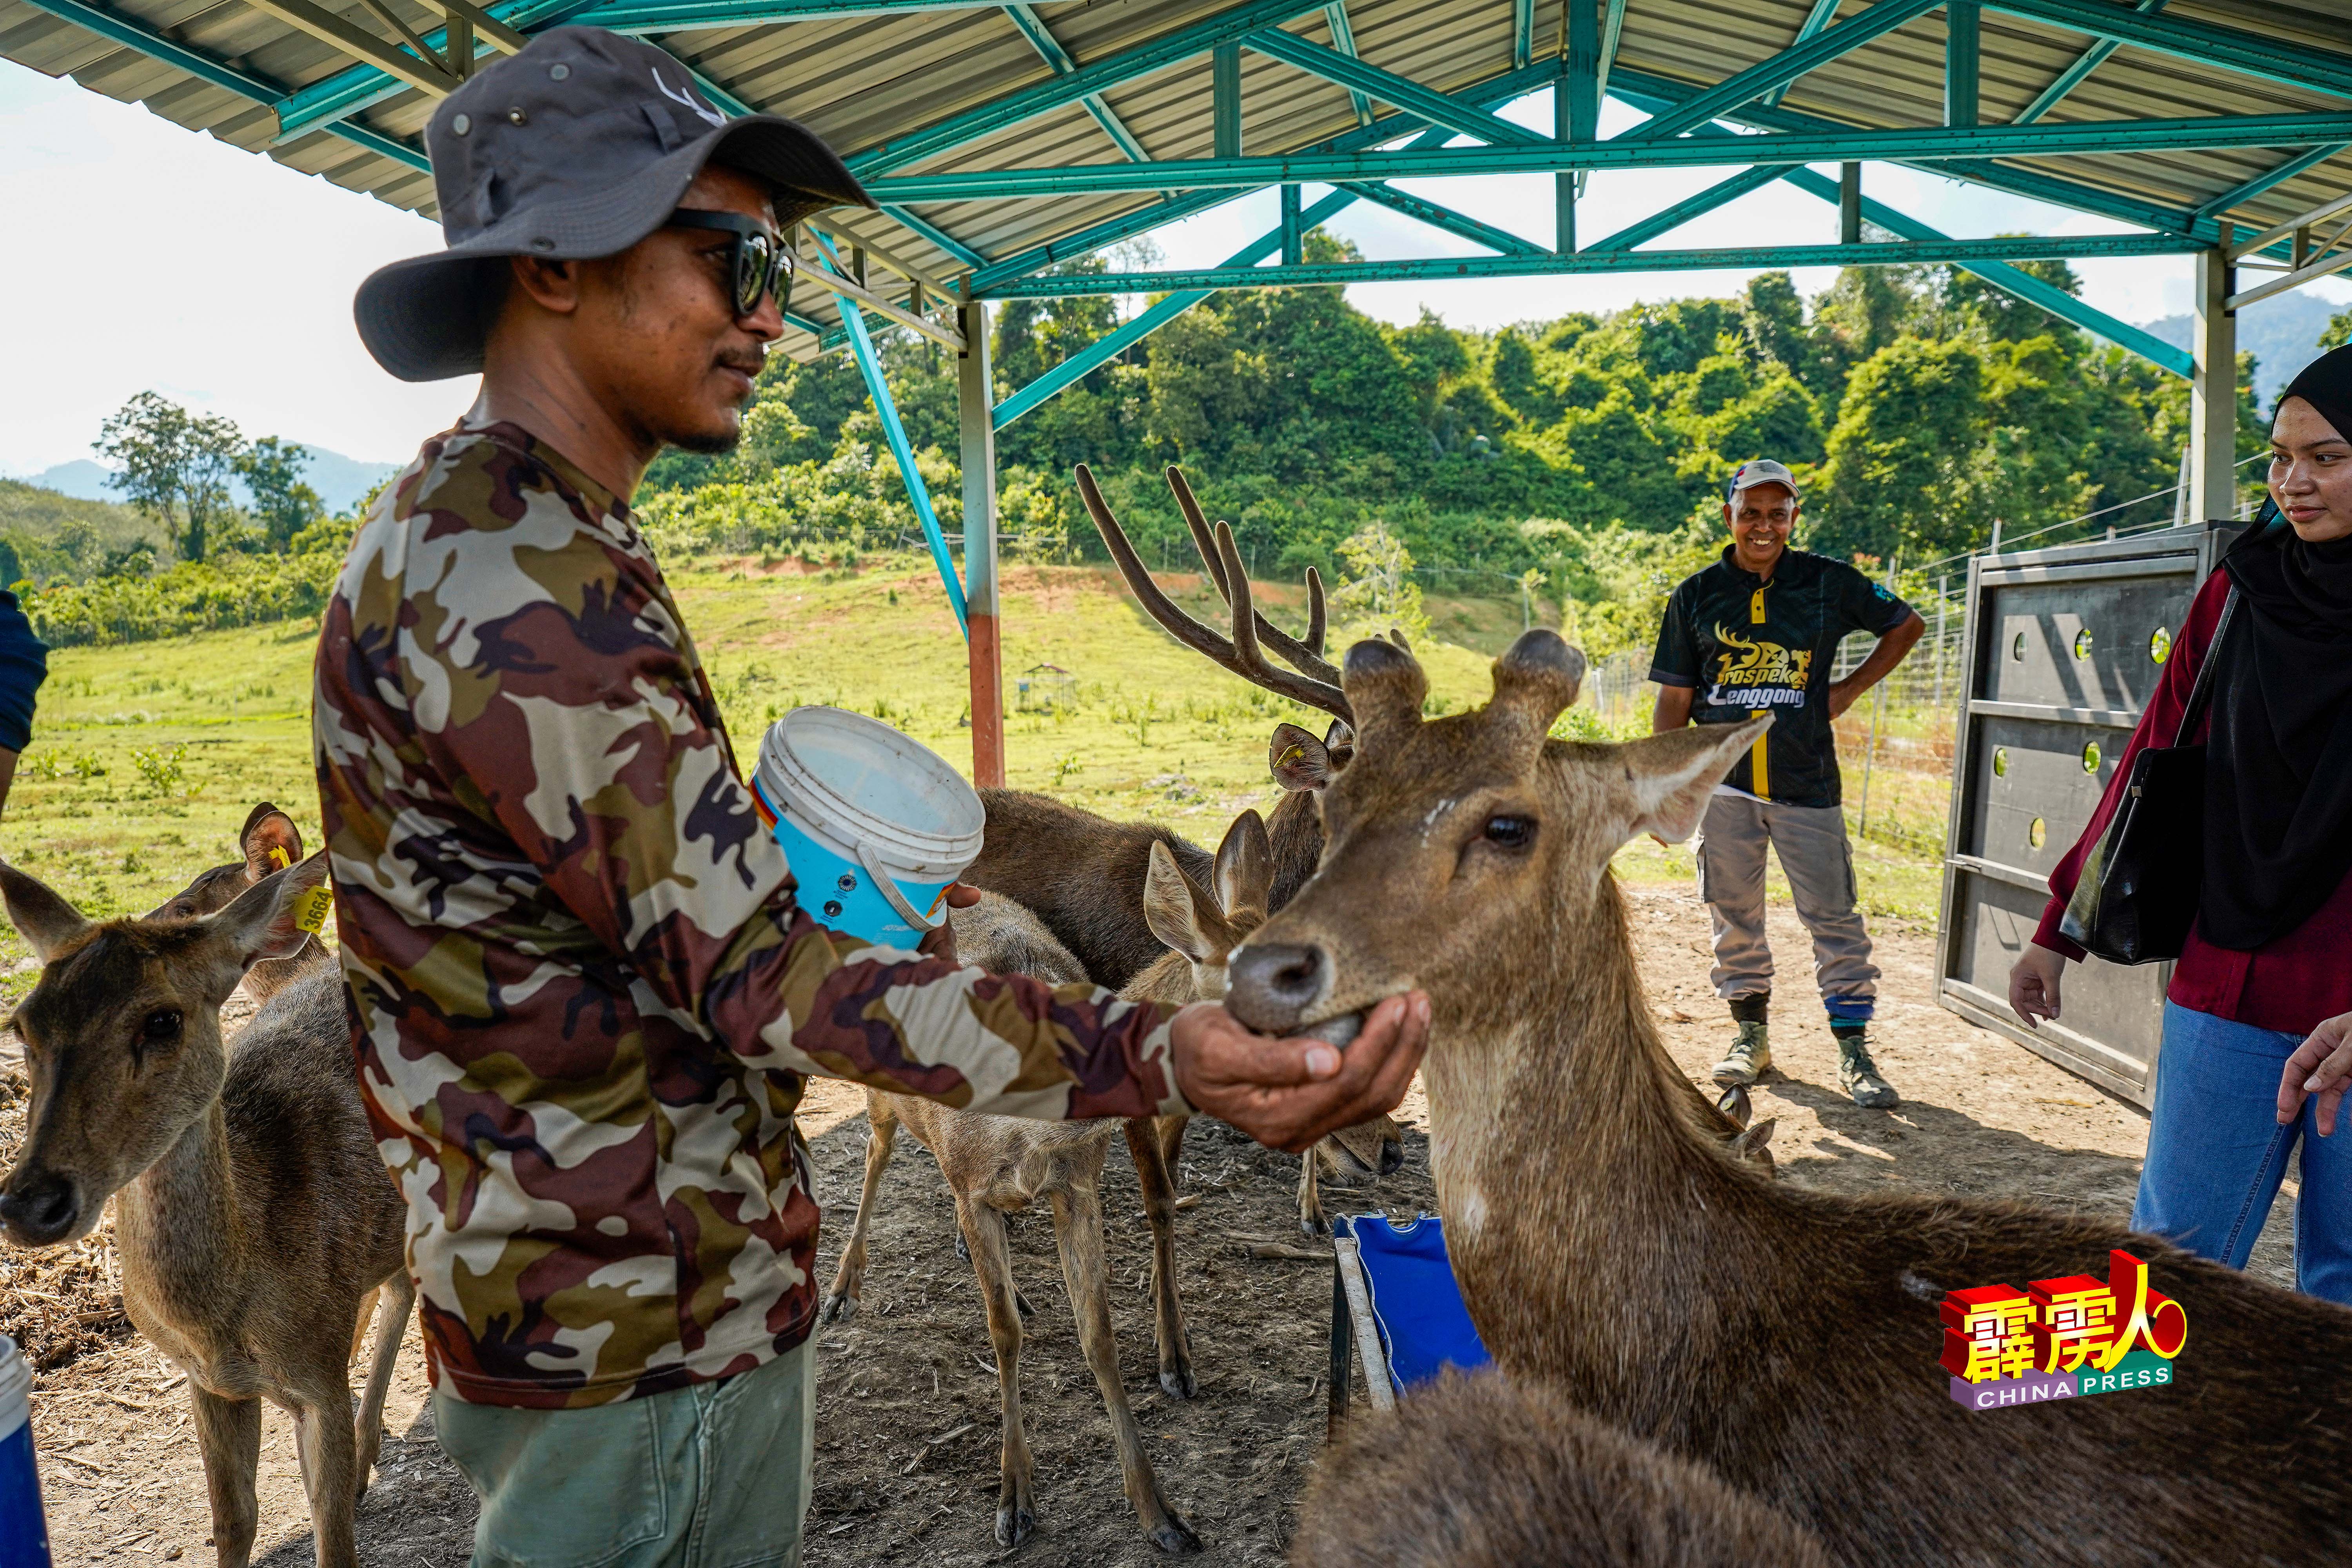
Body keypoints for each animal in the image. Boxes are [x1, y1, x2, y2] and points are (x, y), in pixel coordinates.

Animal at [0, 851, 409, 1568]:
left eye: (163, 1020)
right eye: (22, 1024)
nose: (31, 1201)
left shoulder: (319, 1386)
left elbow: (333, 1539)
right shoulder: (207, 1382)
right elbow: (234, 1519)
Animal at [823, 893, 1195, 1561]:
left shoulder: (1077, 1185)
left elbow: (1098, 1335)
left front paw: (1160, 1514)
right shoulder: (975, 1188)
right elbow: (1004, 1335)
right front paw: (1015, 1501)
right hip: (879, 1099)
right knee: (875, 1154)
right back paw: (842, 1290)